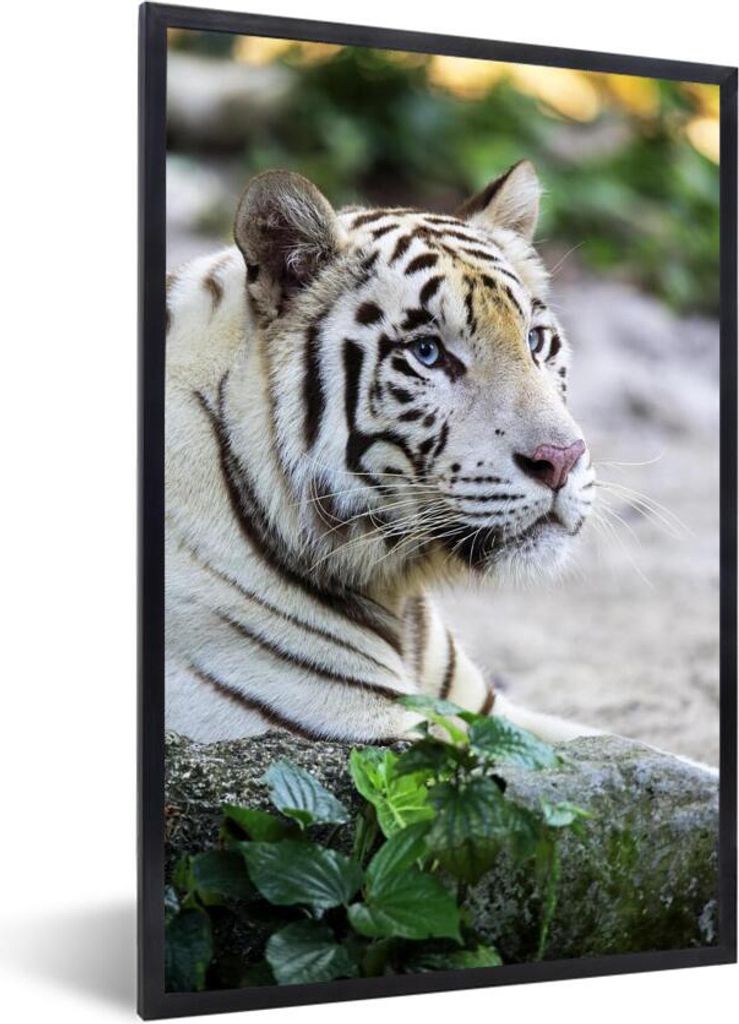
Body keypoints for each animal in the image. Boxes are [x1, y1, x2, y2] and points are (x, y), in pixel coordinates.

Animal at [165, 160, 599, 745]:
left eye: (534, 340)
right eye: (428, 353)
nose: (562, 459)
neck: (395, 586)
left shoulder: (488, 714)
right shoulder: (372, 735)